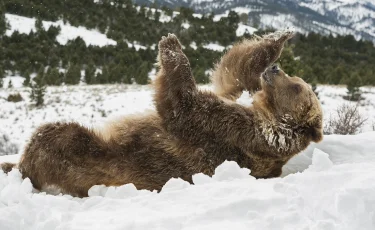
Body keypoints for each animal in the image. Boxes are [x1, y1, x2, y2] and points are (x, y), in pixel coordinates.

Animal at [0, 32, 324, 198]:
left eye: (297, 87)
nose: (275, 70)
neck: (264, 115)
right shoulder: (237, 100)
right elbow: (234, 74)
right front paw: (278, 38)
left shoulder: (233, 133)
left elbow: (184, 107)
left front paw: (171, 46)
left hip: (94, 159)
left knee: (56, 138)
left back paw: (20, 165)